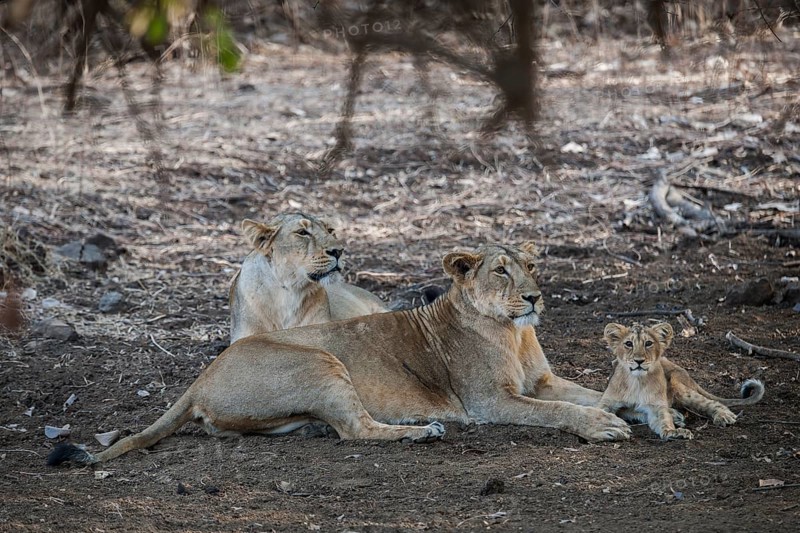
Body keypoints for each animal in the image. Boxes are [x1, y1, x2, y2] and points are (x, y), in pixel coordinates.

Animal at [47, 242, 631, 467]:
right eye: (501, 272)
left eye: (531, 268)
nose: (534, 297)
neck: (515, 333)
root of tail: (199, 377)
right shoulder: (490, 402)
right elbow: (558, 411)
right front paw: (601, 426)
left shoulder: (543, 381)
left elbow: (587, 392)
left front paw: (626, 405)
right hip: (321, 361)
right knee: (356, 430)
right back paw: (421, 431)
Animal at [598, 322, 765, 440]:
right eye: (628, 344)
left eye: (648, 343)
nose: (639, 361)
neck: (636, 381)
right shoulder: (607, 403)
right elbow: (599, 412)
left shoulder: (656, 406)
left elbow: (664, 419)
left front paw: (672, 431)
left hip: (680, 388)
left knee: (713, 403)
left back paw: (724, 416)